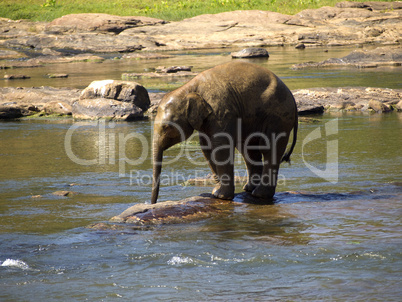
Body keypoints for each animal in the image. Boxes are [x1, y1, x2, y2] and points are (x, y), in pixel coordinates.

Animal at [152, 60, 296, 204]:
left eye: (166, 127)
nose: (153, 203)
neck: (188, 88)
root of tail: (292, 98)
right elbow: (207, 147)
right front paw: (216, 192)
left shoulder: (220, 111)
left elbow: (221, 147)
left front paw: (221, 196)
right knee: (248, 150)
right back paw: (249, 189)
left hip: (278, 117)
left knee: (269, 149)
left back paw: (259, 195)